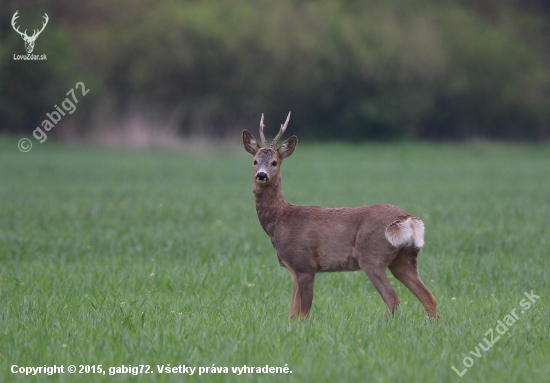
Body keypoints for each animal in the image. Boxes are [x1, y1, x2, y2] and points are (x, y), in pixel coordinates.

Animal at [244, 113, 438, 320]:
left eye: (275, 162)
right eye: (254, 161)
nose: (261, 175)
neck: (281, 221)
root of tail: (407, 218)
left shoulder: (305, 265)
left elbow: (303, 313)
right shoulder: (294, 269)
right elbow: (291, 314)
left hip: (372, 256)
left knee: (393, 298)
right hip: (404, 258)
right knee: (429, 298)